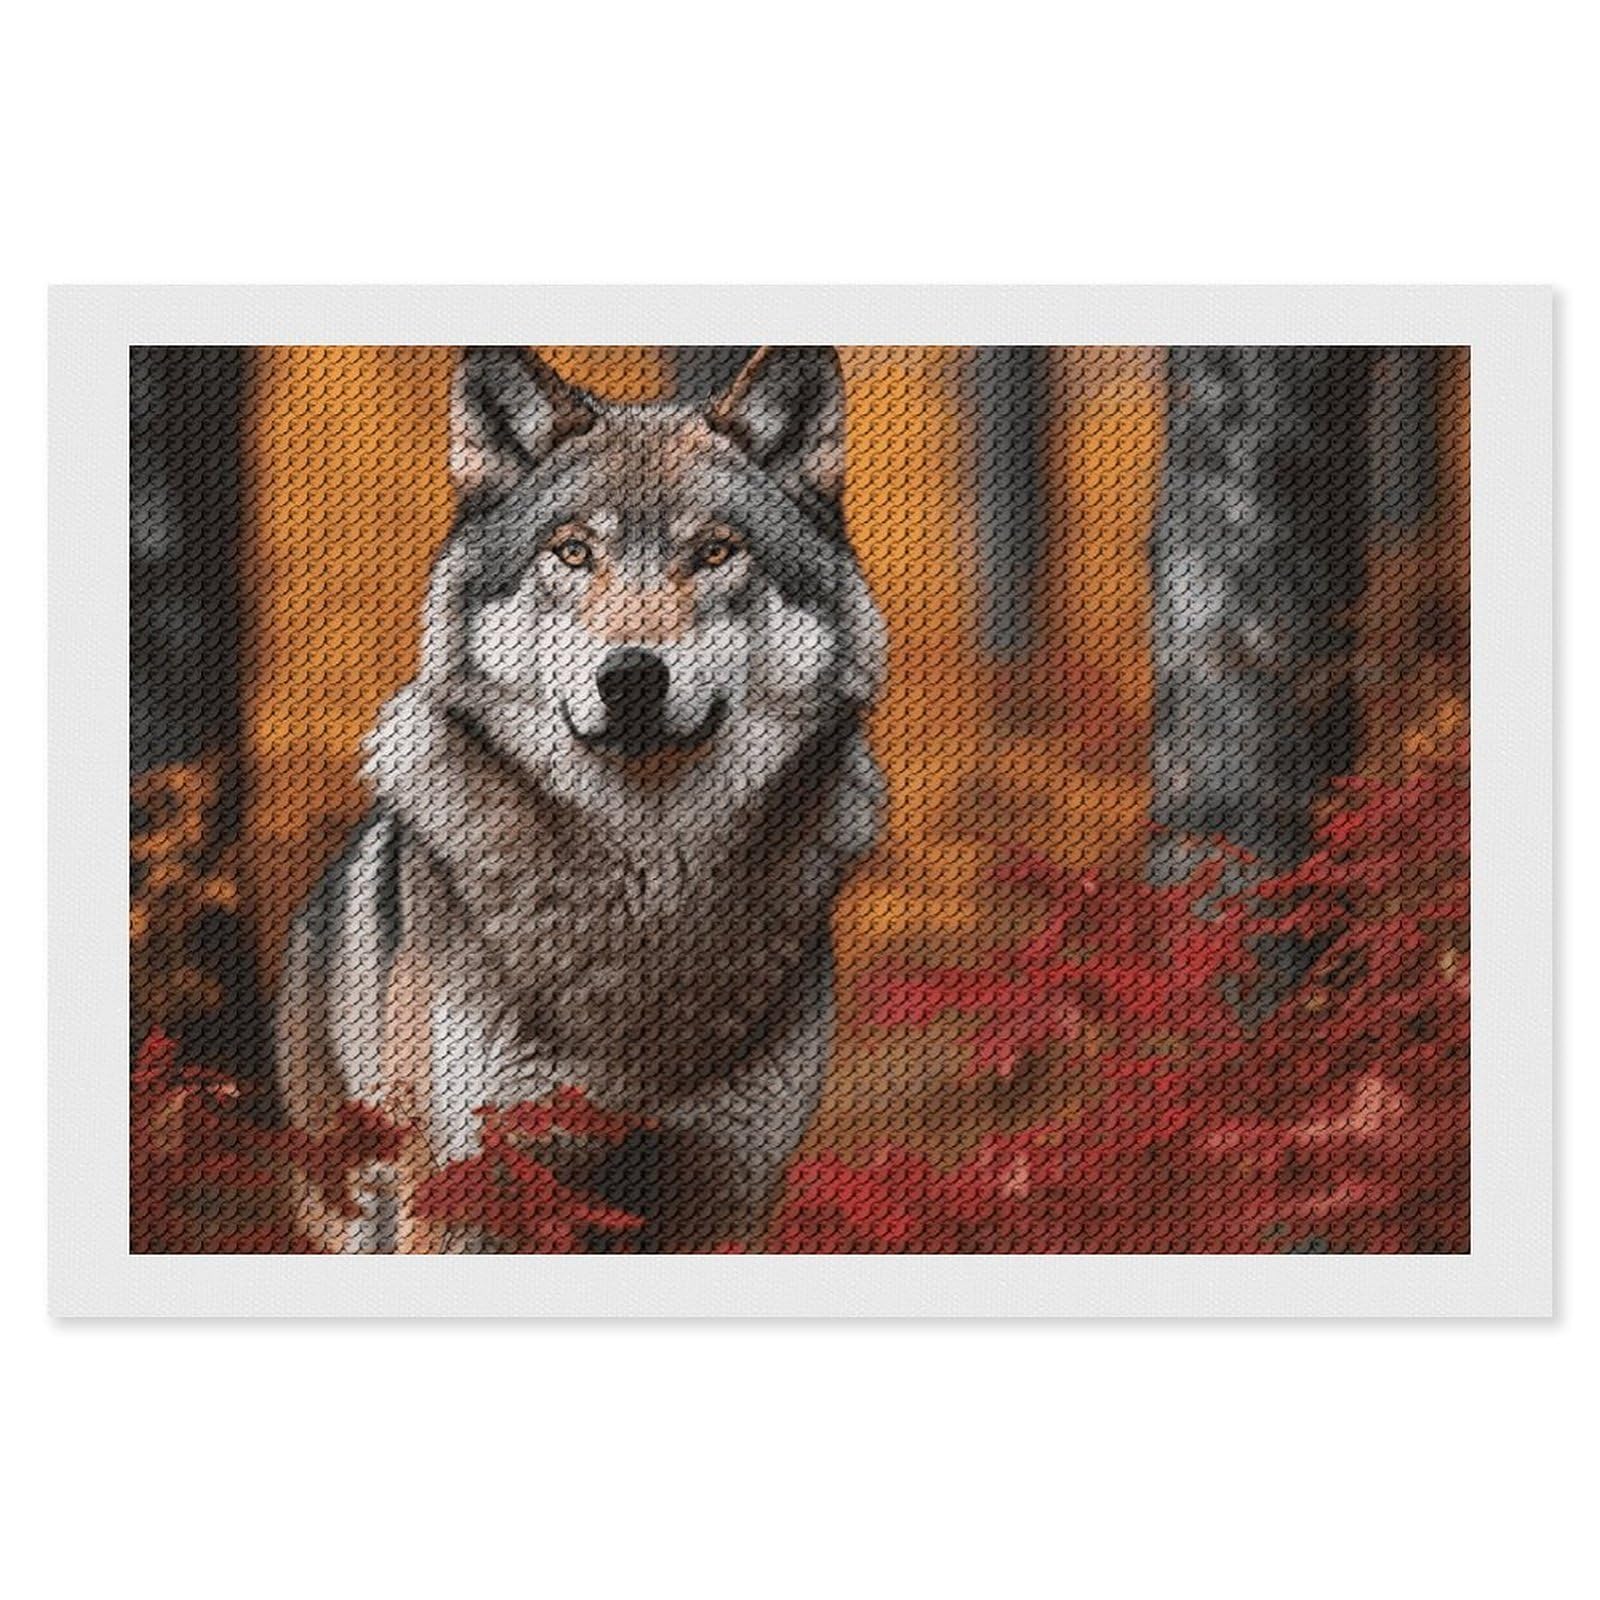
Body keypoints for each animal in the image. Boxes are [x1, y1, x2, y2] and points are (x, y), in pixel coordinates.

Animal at [275, 346, 887, 1251]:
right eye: (571, 552)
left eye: (715, 552)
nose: (630, 677)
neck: (646, 882)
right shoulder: (459, 1192)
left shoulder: (731, 1192)